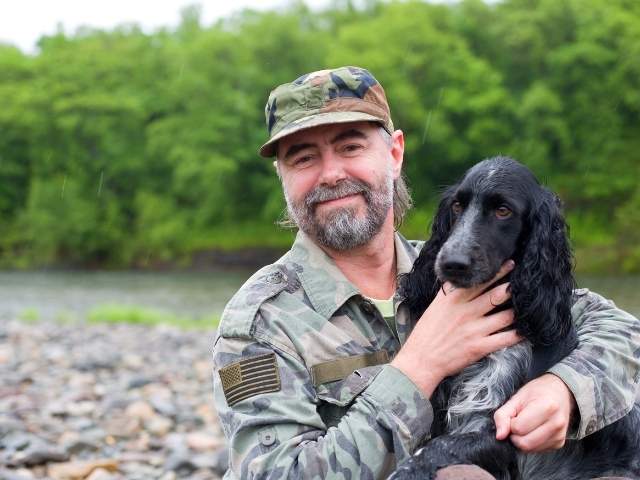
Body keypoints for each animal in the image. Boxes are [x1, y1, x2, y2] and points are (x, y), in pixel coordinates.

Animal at [390, 158, 640, 480]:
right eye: (457, 206)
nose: (452, 263)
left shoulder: (503, 427)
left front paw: (407, 471)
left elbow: (438, 446)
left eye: (503, 210)